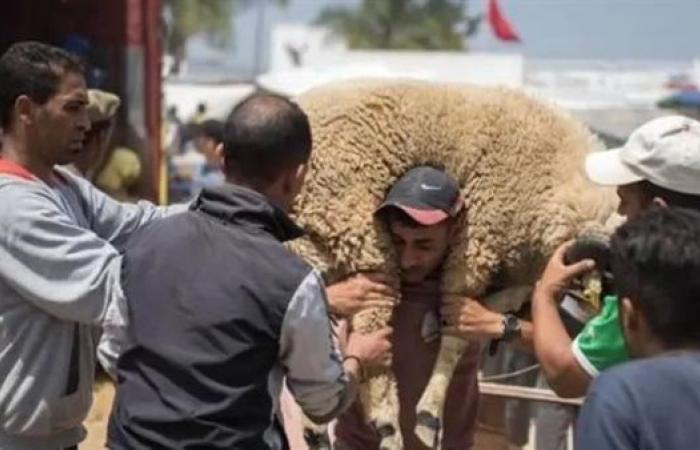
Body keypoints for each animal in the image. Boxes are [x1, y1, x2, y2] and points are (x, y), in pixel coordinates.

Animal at [288, 79, 616, 448]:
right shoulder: (475, 247)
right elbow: (457, 336)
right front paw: (428, 416)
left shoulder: (516, 275)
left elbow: (480, 316)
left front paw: (437, 324)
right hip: (361, 233)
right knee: (370, 329)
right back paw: (387, 423)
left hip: (312, 241)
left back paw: (316, 424)